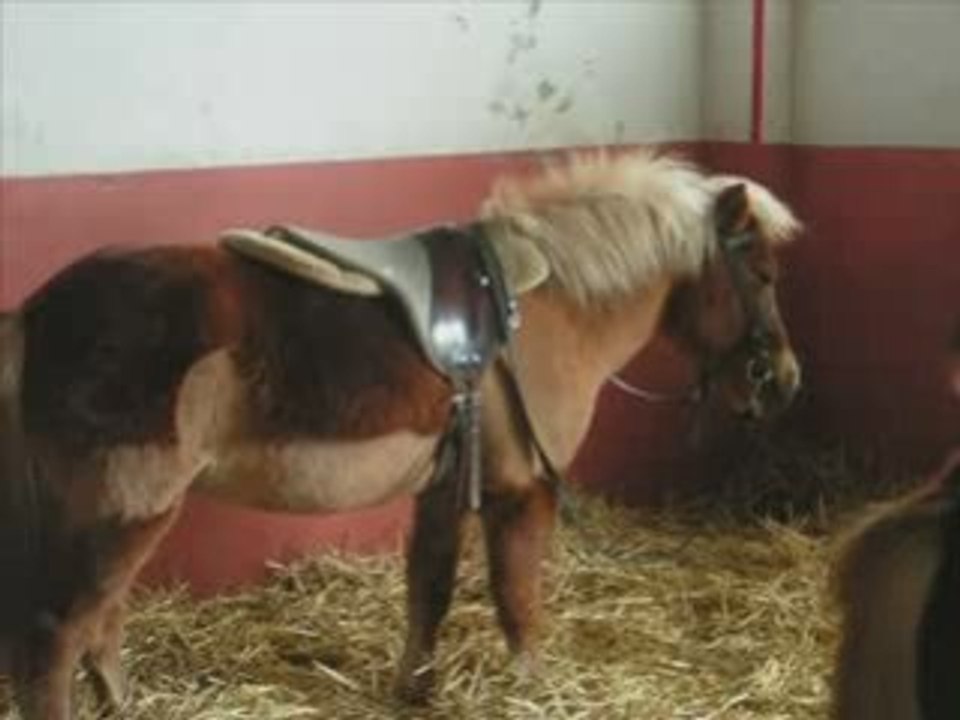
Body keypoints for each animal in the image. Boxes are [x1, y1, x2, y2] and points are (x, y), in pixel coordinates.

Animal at [0, 150, 802, 719]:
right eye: (761, 273)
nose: (784, 381)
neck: (543, 308)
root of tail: (38, 314)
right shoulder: (522, 491)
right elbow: (518, 601)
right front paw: (532, 689)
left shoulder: (445, 488)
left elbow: (430, 590)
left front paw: (415, 691)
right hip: (124, 513)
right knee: (57, 637)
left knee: (100, 628)